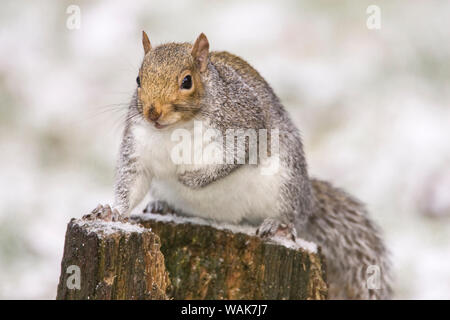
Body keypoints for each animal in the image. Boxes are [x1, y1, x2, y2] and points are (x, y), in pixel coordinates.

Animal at [85, 31, 394, 298]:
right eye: (138, 79)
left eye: (187, 81)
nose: (152, 113)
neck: (176, 127)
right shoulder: (138, 146)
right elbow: (130, 183)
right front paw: (112, 212)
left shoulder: (245, 126)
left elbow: (231, 159)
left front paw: (192, 179)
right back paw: (163, 206)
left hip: (287, 182)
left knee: (293, 214)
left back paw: (280, 226)